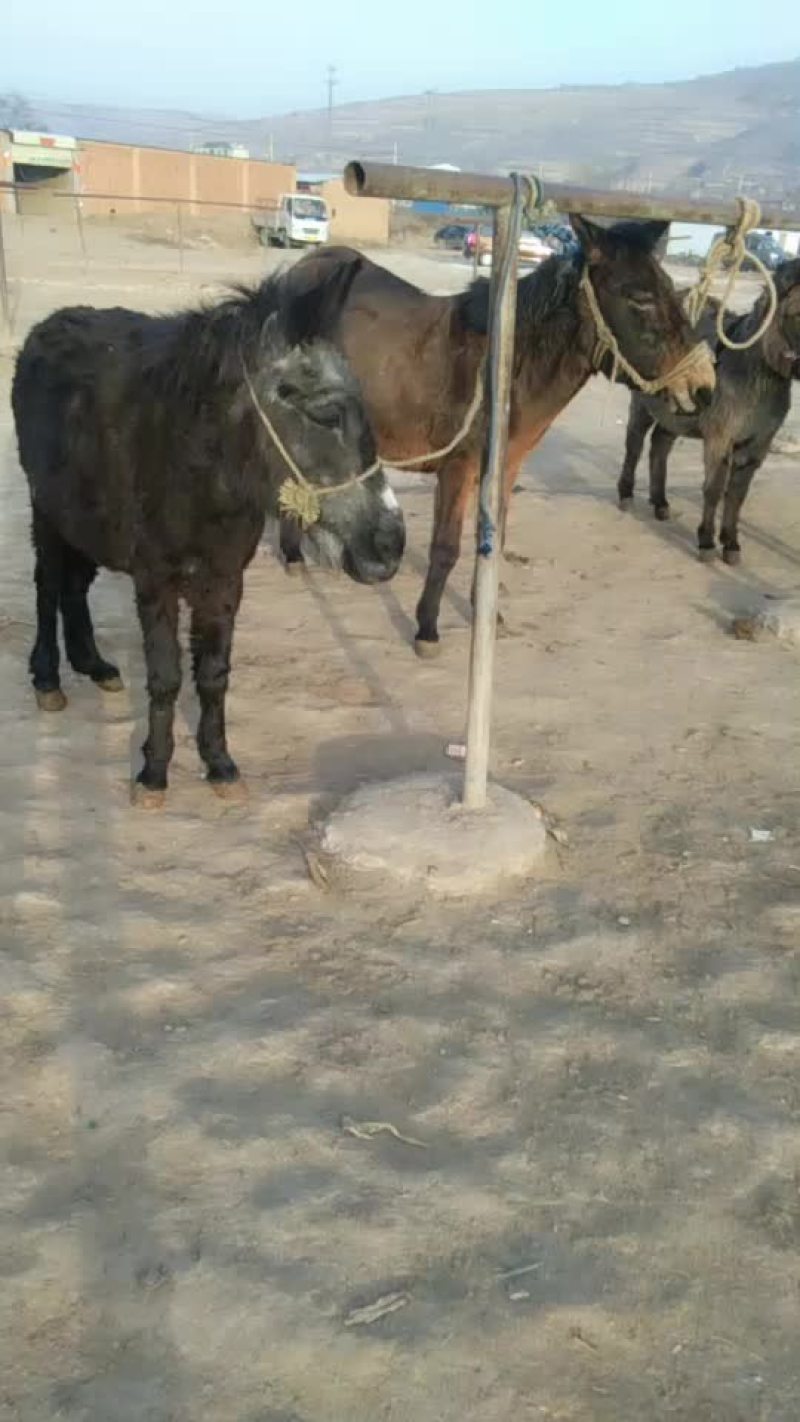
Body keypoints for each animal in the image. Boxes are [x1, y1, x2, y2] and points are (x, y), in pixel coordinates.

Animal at [12, 275, 406, 803]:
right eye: (325, 415)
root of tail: (48, 325)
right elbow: (165, 678)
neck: (195, 468)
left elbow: (214, 676)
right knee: (48, 587)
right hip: (48, 514)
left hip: (84, 524)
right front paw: (153, 773)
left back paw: (94, 665)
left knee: (74, 588)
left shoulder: (223, 582)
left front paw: (219, 764)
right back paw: (48, 678)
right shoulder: (155, 582)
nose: (390, 546)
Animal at [278, 216, 716, 655]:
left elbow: (493, 543)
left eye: (670, 287)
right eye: (640, 297)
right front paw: (427, 628)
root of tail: (309, 261)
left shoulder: (505, 469)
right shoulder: (458, 467)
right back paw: (293, 554)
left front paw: (487, 615)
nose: (703, 387)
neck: (504, 372)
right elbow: (446, 548)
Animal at [617, 256, 800, 563]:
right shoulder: (719, 437)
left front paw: (731, 543)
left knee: (660, 445)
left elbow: (737, 494)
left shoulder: (757, 445)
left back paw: (660, 503)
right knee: (635, 444)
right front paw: (706, 542)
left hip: (676, 412)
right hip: (643, 403)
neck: (754, 377)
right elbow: (714, 489)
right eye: (798, 313)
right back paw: (626, 495)